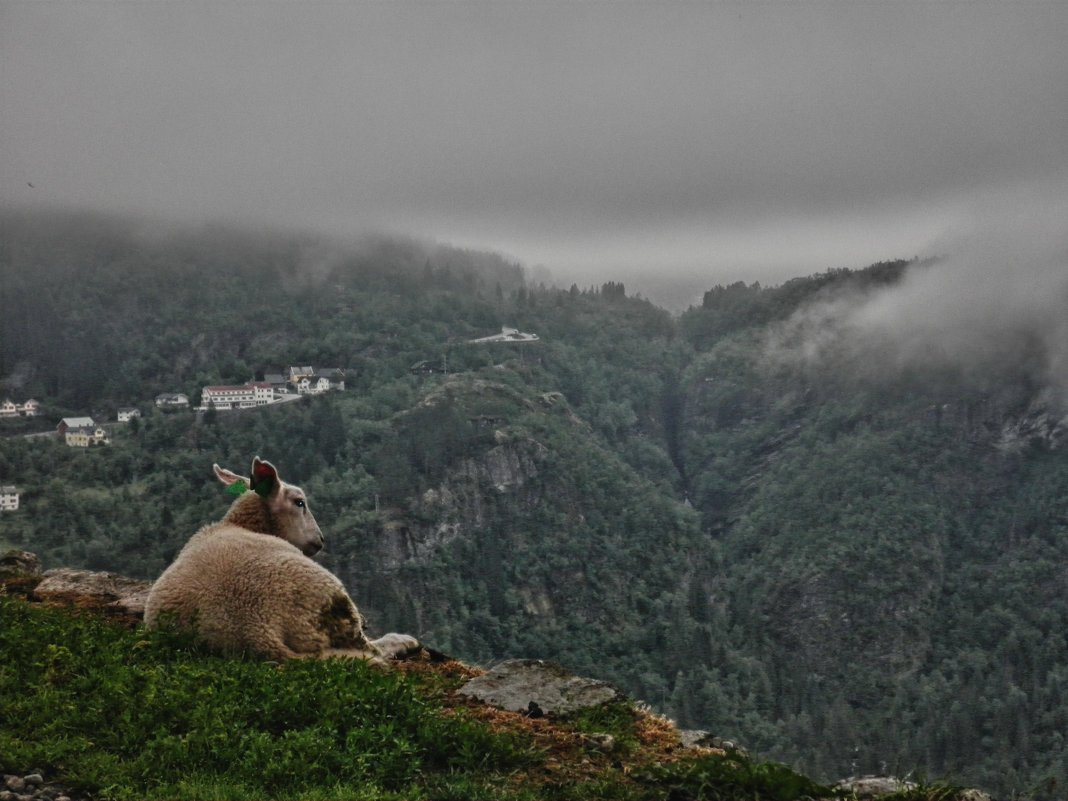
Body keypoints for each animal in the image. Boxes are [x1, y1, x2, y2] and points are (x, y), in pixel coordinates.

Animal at [144, 457, 418, 666]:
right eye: (299, 502)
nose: (320, 539)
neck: (243, 524)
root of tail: (257, 631)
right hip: (330, 600)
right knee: (369, 648)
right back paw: (401, 641)